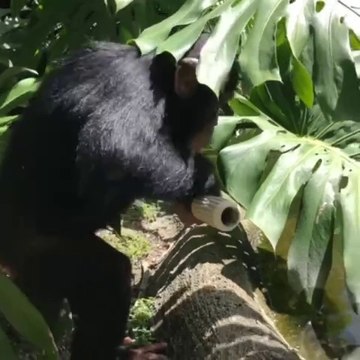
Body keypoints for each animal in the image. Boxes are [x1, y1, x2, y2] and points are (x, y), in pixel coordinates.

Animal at [0, 33, 239, 358]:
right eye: (213, 104)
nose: (215, 122)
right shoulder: (134, 89)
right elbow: (117, 151)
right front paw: (205, 181)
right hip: (35, 253)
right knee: (107, 280)